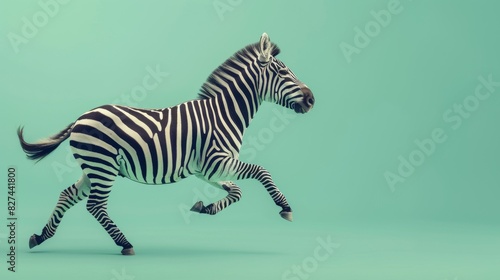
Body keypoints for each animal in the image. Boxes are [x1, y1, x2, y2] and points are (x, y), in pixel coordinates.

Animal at [17, 31, 314, 255]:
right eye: (283, 72)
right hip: (104, 166)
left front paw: (204, 207)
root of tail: (81, 117)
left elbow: (237, 191)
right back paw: (125, 244)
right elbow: (262, 172)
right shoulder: (216, 161)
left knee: (67, 195)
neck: (224, 113)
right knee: (95, 206)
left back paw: (41, 236)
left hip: (94, 168)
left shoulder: (207, 170)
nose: (312, 99)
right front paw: (285, 207)